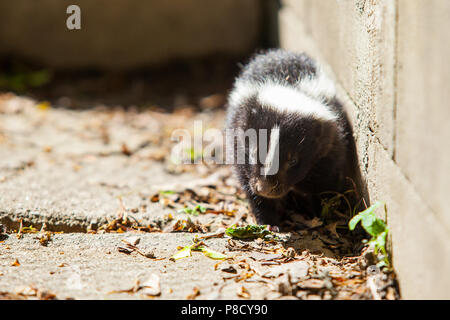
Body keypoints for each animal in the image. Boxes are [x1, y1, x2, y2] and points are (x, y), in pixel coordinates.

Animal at [227, 48, 360, 226]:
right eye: (254, 153)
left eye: (293, 161)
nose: (265, 188)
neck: (288, 84)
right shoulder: (238, 139)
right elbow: (248, 183)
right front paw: (268, 221)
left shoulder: (329, 145)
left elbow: (324, 182)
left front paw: (322, 215)